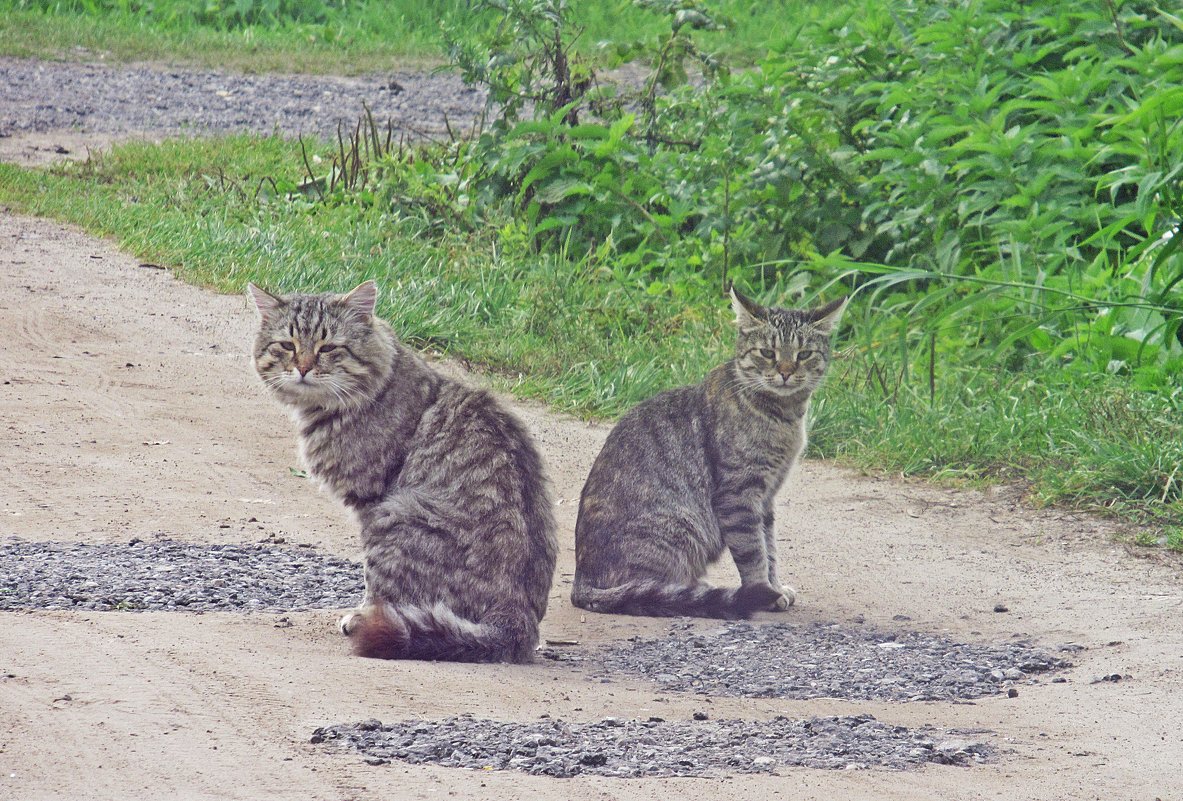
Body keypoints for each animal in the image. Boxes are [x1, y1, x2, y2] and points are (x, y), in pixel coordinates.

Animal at [246, 281, 558, 662]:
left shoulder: (372, 502)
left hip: (396, 513)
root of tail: (518, 621)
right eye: (288, 346)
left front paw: (360, 615)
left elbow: (370, 582)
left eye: (329, 348)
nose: (303, 368)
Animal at [570, 287, 842, 619]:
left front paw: (775, 586)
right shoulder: (739, 494)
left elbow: (770, 549)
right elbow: (754, 553)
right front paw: (765, 593)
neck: (784, 416)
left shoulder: (766, 498)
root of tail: (581, 582)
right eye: (768, 353)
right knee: (648, 587)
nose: (786, 372)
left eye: (803, 355)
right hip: (680, 526)